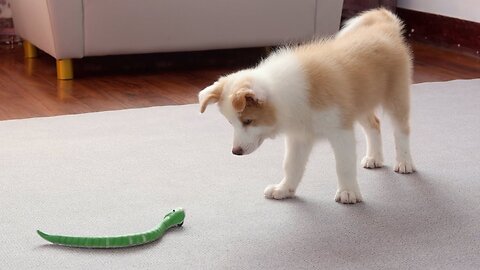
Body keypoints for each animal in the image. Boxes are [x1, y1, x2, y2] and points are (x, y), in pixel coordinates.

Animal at [197, 7, 414, 204]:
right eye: (231, 123)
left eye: (248, 121)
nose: (236, 152)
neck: (286, 95)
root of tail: (385, 28)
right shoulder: (299, 137)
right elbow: (291, 165)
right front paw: (284, 189)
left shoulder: (341, 131)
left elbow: (343, 165)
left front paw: (348, 192)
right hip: (360, 104)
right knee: (374, 125)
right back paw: (374, 158)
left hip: (396, 98)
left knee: (401, 131)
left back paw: (404, 162)